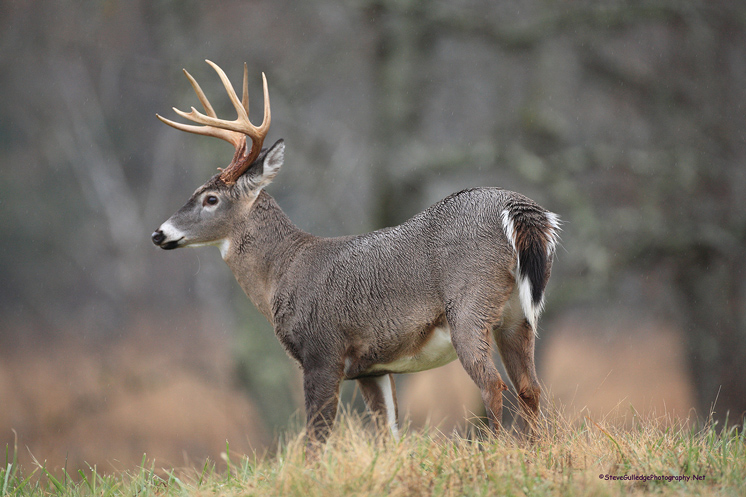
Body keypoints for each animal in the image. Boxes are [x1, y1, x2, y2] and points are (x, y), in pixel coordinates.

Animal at [151, 61, 560, 450]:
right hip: (517, 317)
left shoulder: (322, 351)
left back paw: (495, 450)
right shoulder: (372, 368)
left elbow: (316, 438)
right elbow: (388, 434)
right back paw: (534, 451)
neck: (282, 271)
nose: (159, 234)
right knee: (530, 388)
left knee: (493, 385)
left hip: (469, 305)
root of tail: (518, 209)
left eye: (210, 198)